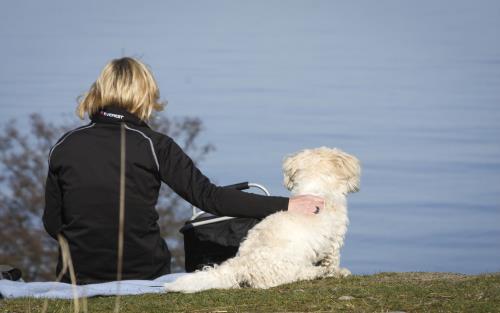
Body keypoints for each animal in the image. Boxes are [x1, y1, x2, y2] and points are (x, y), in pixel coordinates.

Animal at [166, 147, 362, 292]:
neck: (314, 189)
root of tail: (242, 265)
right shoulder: (334, 240)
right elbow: (333, 260)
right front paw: (338, 272)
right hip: (287, 268)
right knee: (297, 275)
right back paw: (317, 272)